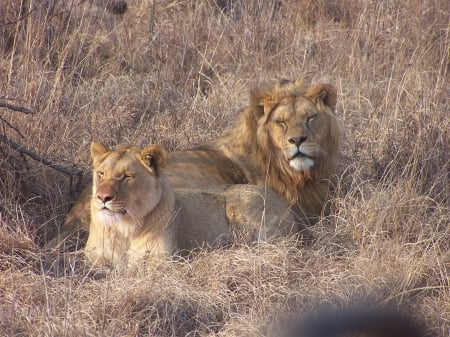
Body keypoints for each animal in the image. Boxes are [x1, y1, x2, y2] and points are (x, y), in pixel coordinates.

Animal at [86, 140, 308, 266]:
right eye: (101, 173)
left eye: (127, 176)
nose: (102, 197)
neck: (124, 229)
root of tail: (291, 208)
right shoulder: (93, 258)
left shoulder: (164, 261)